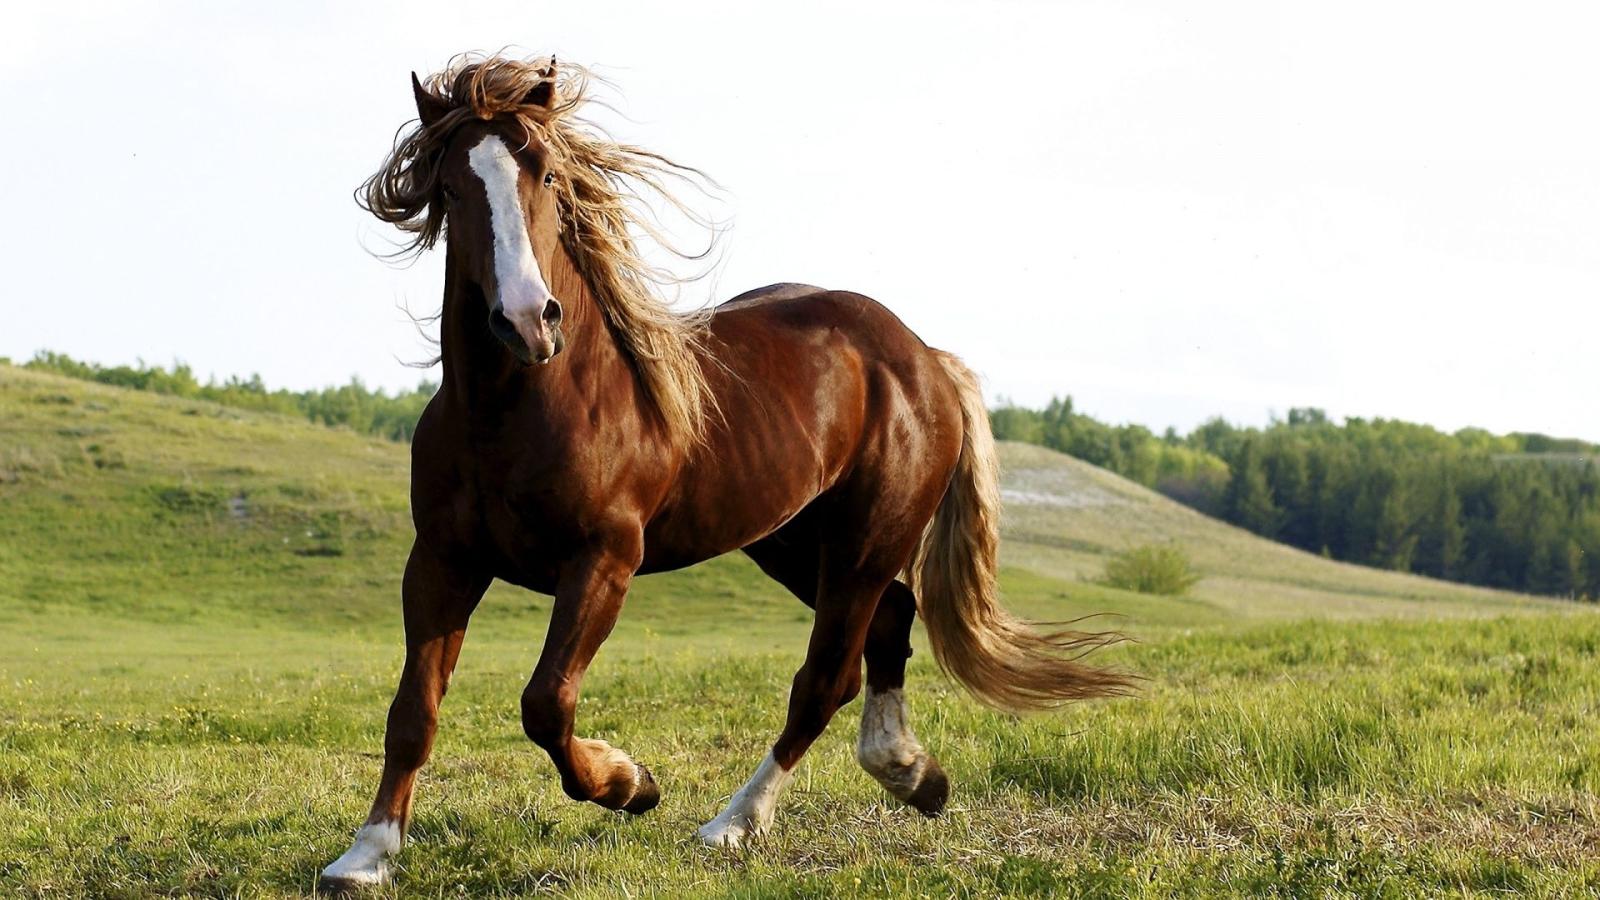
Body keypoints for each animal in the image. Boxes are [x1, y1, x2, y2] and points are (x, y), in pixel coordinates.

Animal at [320, 53, 1128, 890]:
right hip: (792, 543)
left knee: (823, 680)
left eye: (544, 173)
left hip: (865, 545)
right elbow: (413, 711)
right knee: (888, 626)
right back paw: (912, 774)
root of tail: (923, 358)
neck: (521, 405)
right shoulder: (442, 560)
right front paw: (367, 854)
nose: (526, 321)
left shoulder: (604, 560)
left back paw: (734, 824)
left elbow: (546, 702)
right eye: (450, 187)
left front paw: (630, 783)